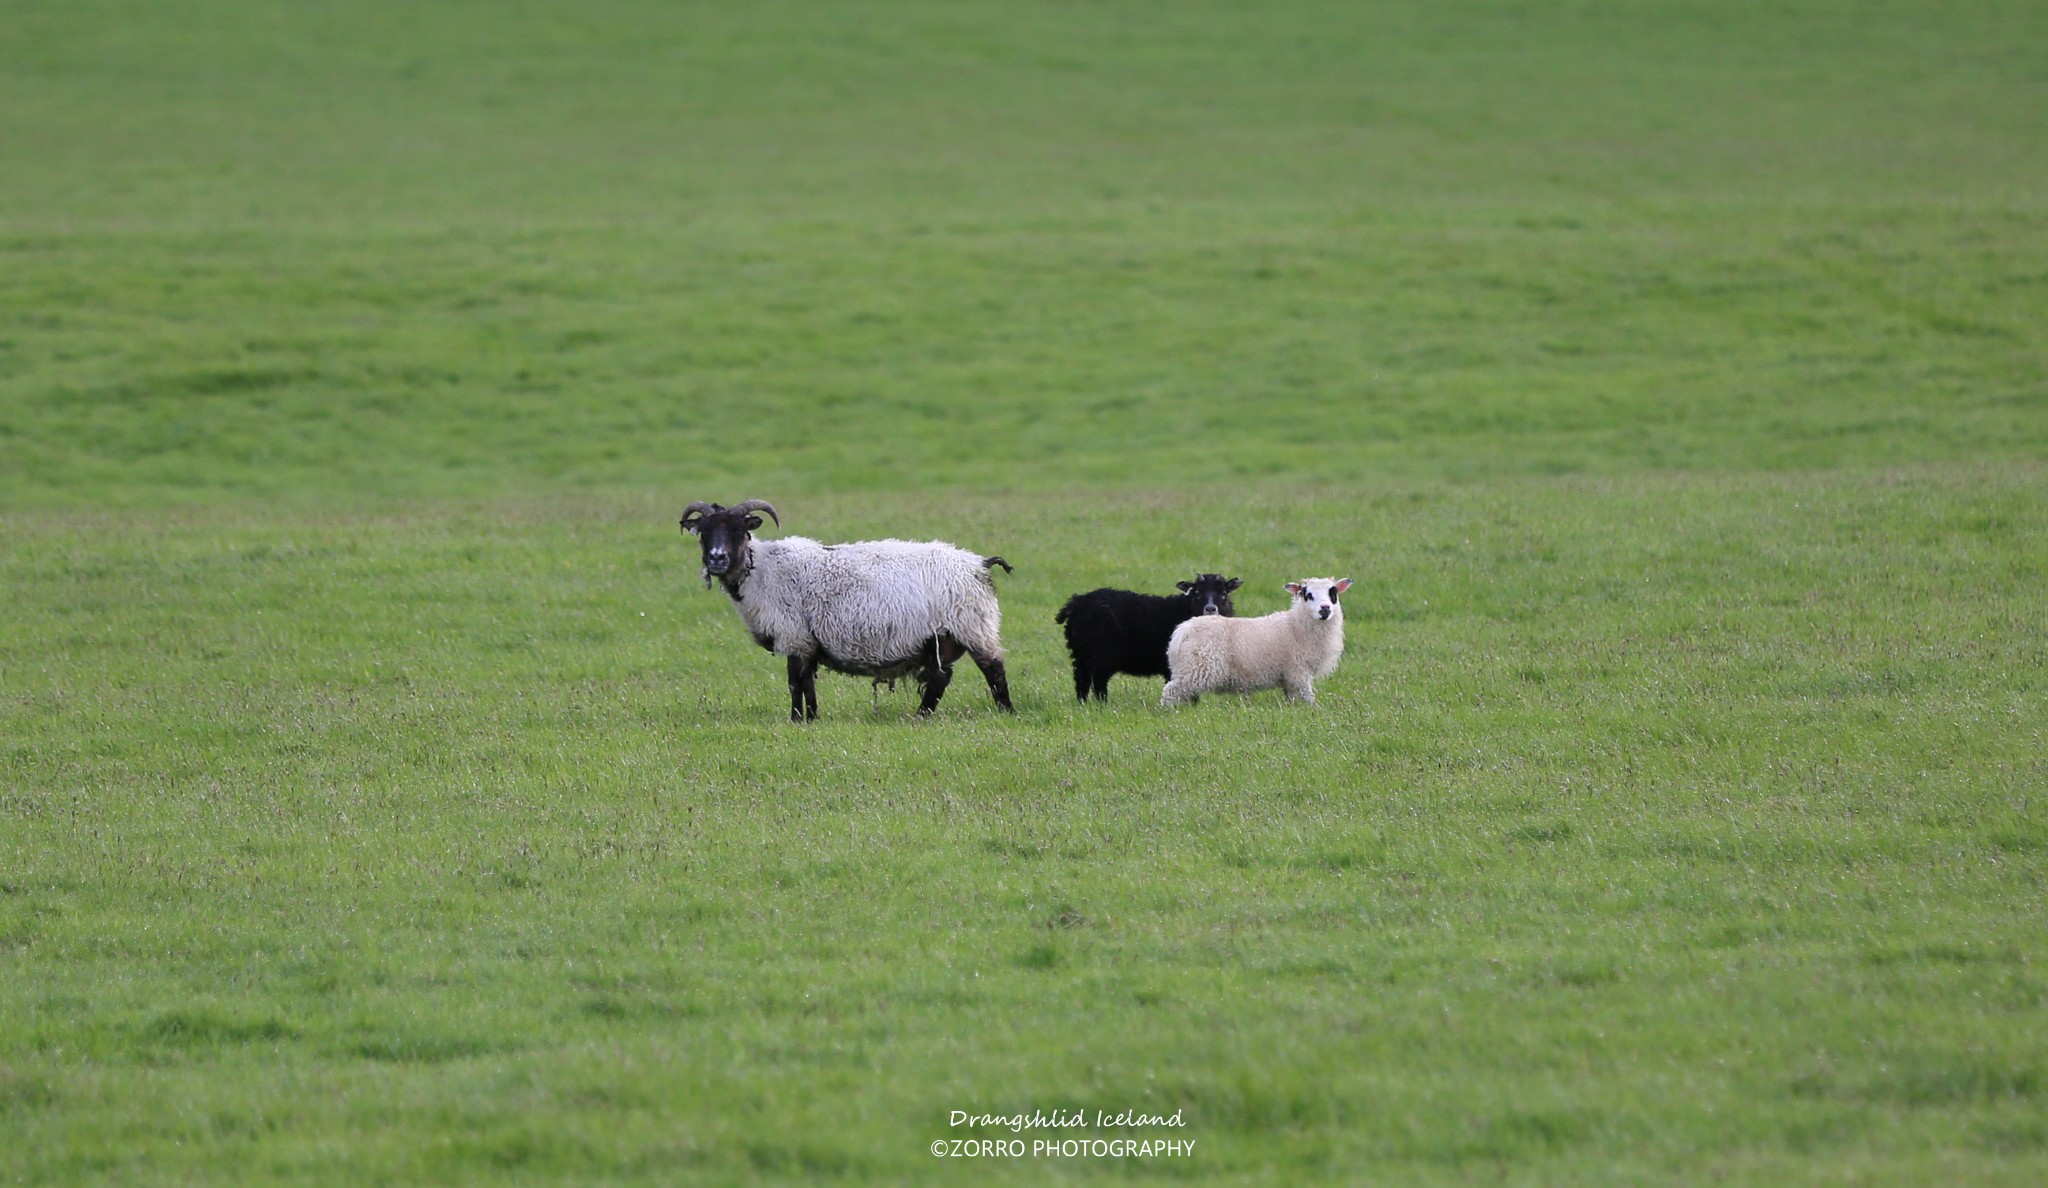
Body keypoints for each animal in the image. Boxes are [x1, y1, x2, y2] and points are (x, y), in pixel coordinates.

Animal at [1056, 573, 1245, 700]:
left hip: (1080, 653)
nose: (1210, 608)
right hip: (1101, 654)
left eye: (1223, 593)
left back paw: (1083, 704)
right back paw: (1102, 704)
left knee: (1081, 678)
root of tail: (1077, 602)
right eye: (1197, 593)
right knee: (1098, 680)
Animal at [1163, 573, 1351, 704]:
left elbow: (1293, 698)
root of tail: (1182, 631)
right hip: (1195, 668)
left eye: (1332, 593)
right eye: (1308, 594)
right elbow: (1308, 698)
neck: (1296, 626)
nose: (1325, 608)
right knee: (1169, 692)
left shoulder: (1290, 677)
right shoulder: (1298, 671)